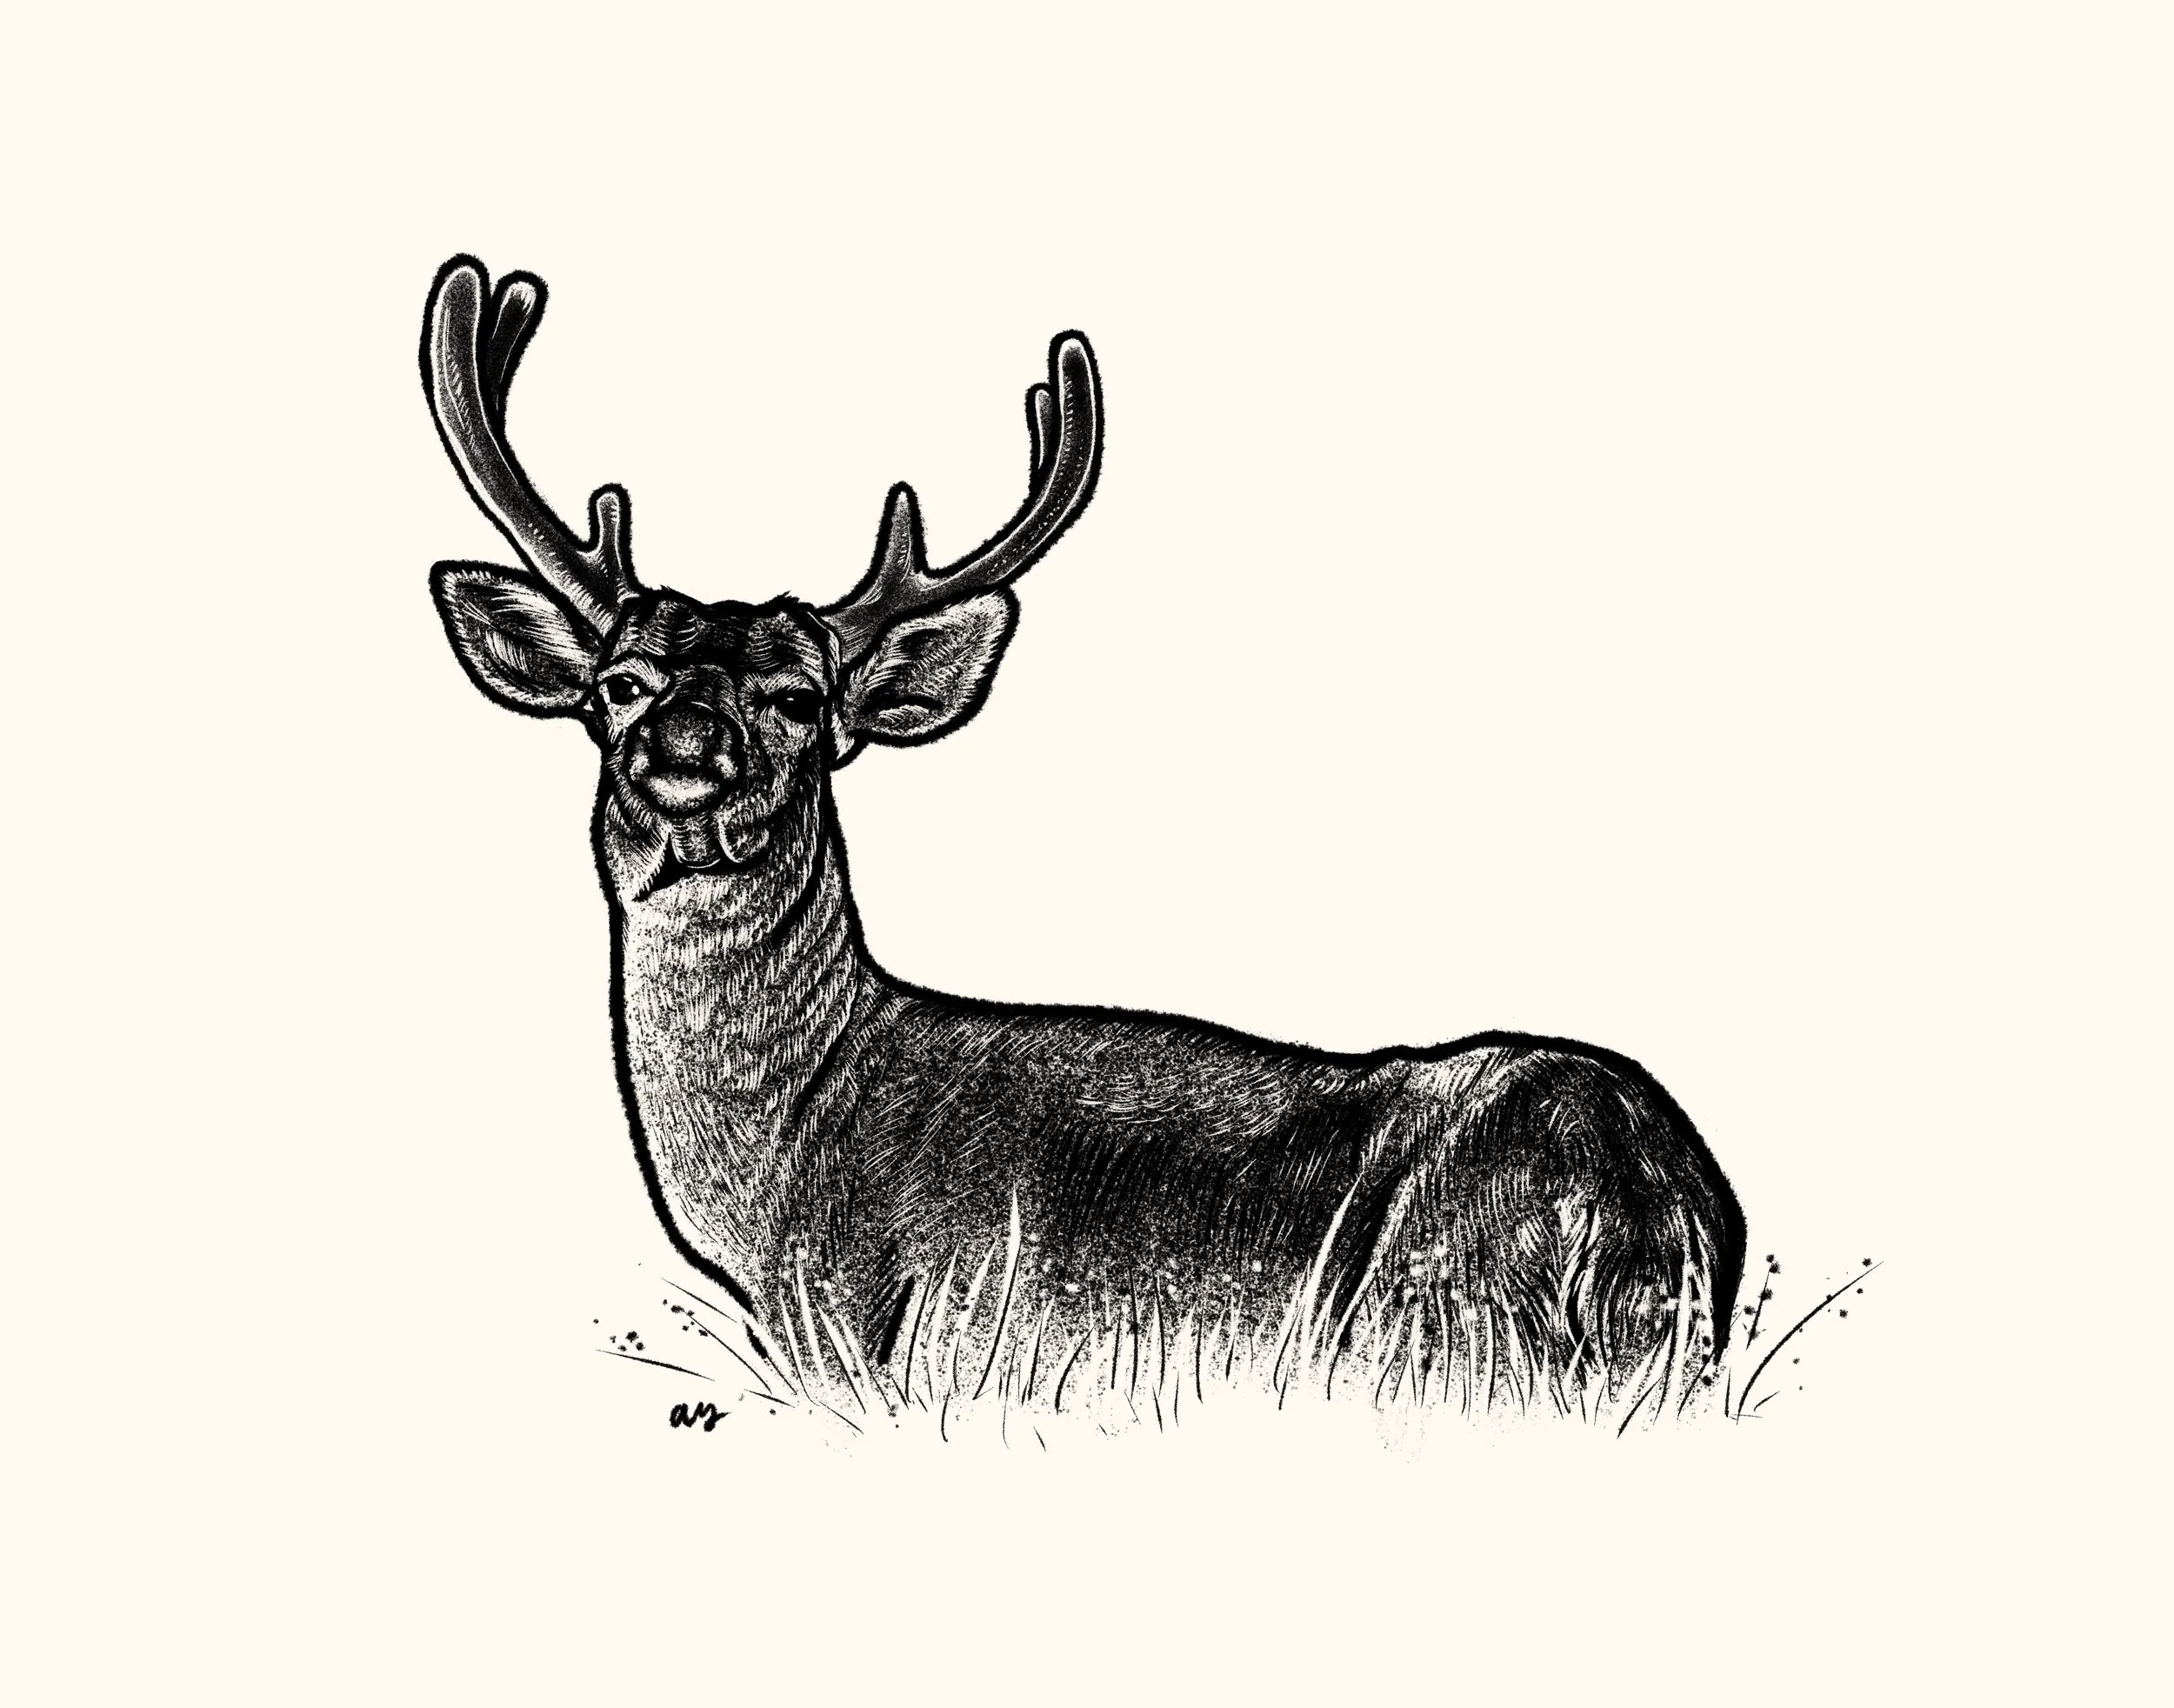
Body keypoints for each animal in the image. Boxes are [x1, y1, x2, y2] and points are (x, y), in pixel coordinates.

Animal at [421, 255, 1746, 1408]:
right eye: (619, 683)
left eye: (799, 698)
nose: (686, 739)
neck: (783, 1157)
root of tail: (1657, 1209)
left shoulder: (859, 1332)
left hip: (1432, 1335)